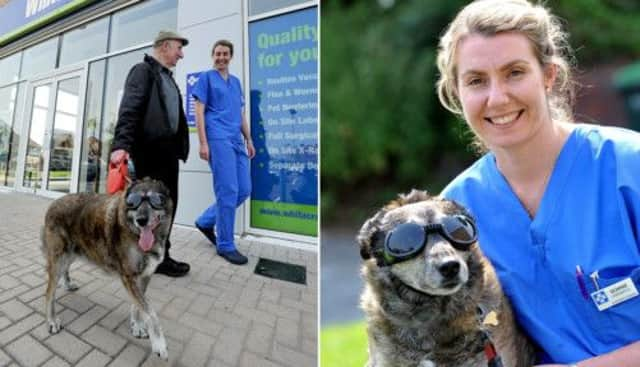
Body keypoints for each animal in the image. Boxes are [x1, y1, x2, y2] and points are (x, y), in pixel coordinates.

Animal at [42, 178, 172, 362]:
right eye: (133, 201)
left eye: (155, 200)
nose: (141, 220)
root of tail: (54, 203)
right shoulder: (128, 277)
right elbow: (150, 312)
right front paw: (159, 344)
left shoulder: (144, 277)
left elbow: (138, 306)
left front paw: (136, 326)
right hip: (59, 258)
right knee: (49, 292)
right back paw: (52, 320)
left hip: (72, 254)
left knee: (64, 272)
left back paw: (67, 284)